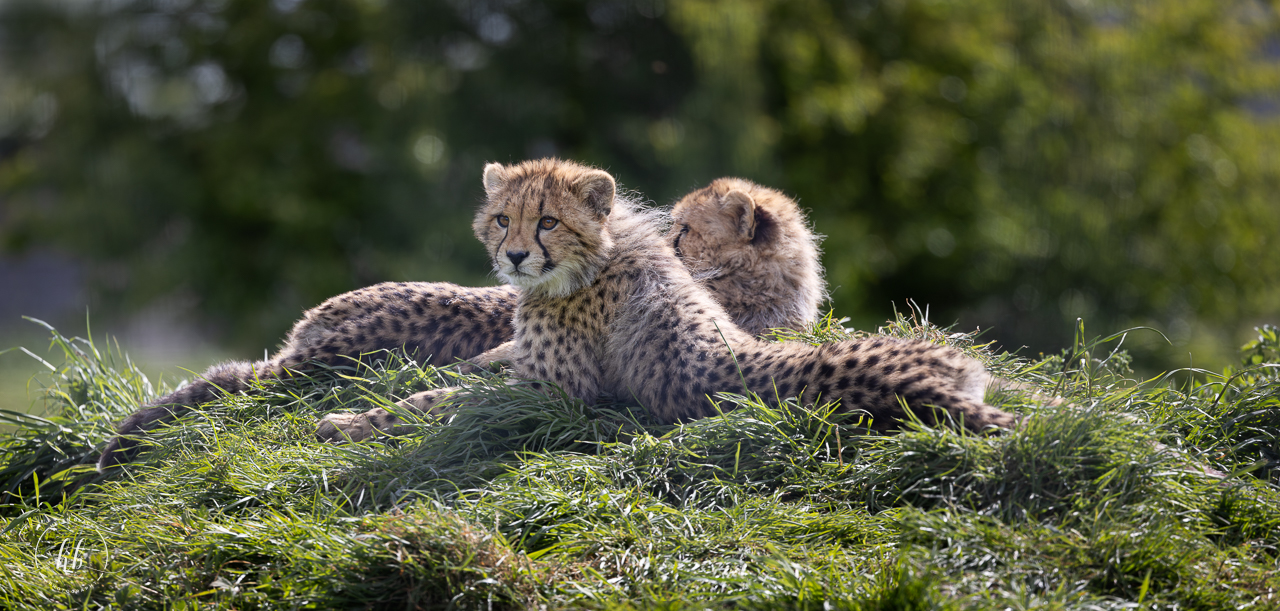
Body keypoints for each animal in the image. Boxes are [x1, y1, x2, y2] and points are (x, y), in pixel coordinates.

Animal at [315, 158, 1017, 443]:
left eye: (547, 222)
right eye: (501, 220)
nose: (512, 256)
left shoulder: (551, 395)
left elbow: (438, 402)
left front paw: (350, 420)